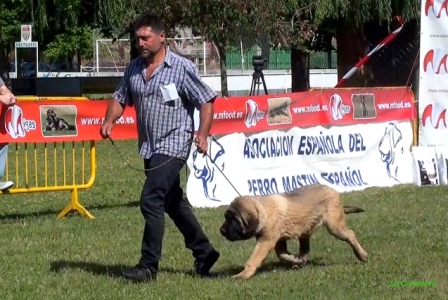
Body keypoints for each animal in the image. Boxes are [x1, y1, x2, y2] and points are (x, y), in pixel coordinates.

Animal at [219, 184, 370, 280]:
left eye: (233, 219)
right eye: (226, 217)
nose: (221, 231)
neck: (263, 210)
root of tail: (332, 189)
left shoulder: (266, 241)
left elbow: (254, 259)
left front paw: (243, 275)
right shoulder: (277, 240)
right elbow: (282, 254)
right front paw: (294, 259)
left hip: (335, 226)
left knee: (350, 234)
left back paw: (362, 255)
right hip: (306, 229)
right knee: (305, 250)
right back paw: (300, 260)